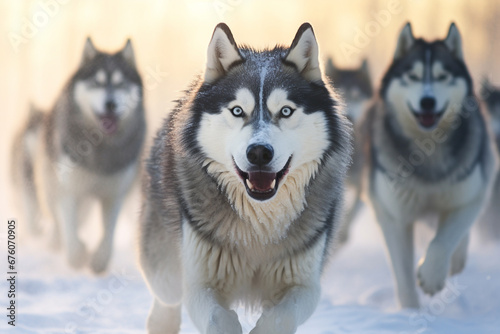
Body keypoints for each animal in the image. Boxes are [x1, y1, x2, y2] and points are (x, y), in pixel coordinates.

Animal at [11, 37, 146, 272]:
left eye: (120, 84)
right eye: (97, 83)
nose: (110, 103)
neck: (100, 150)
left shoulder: (113, 194)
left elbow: (108, 235)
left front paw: (99, 261)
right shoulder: (69, 190)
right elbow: (69, 233)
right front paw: (78, 255)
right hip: (48, 184)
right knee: (55, 220)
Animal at [138, 23, 352, 334]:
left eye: (285, 111)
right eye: (237, 110)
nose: (259, 152)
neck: (259, 225)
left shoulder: (304, 285)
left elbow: (280, 318)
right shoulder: (200, 283)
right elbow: (218, 318)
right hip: (165, 271)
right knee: (166, 300)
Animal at [362, 22, 498, 308]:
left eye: (442, 76)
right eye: (412, 77)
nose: (427, 101)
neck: (428, 151)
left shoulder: (469, 195)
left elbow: (445, 239)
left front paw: (432, 275)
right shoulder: (393, 214)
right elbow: (402, 272)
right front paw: (411, 311)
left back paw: (456, 261)